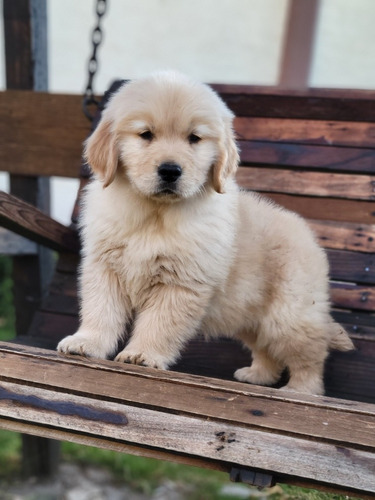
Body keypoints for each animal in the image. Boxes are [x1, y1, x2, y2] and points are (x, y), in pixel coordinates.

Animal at [57, 70, 354, 394]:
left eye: (194, 138)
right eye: (146, 134)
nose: (170, 170)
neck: (155, 214)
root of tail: (309, 235)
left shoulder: (181, 283)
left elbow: (159, 324)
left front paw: (143, 354)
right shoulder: (105, 268)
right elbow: (101, 311)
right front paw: (87, 342)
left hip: (288, 314)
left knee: (310, 352)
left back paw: (301, 390)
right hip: (250, 314)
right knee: (266, 348)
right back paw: (258, 375)